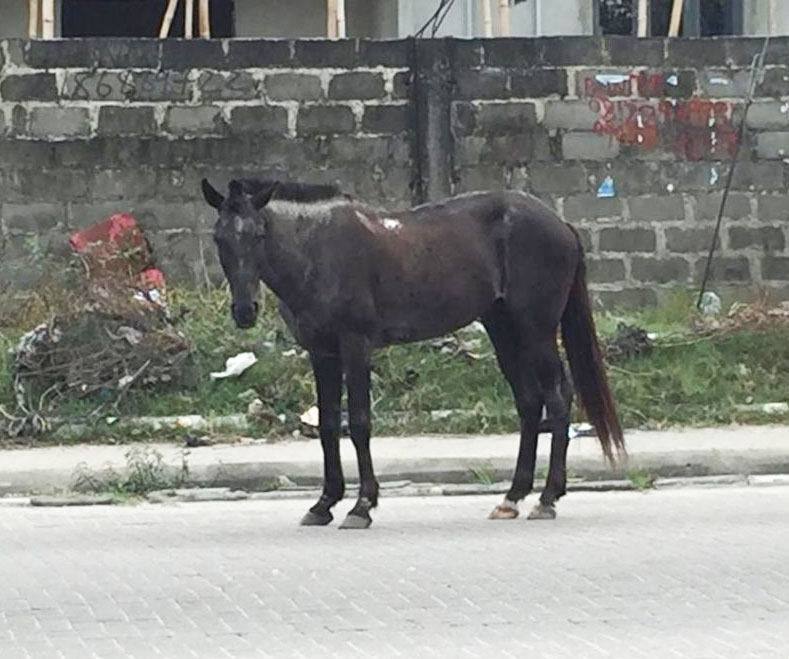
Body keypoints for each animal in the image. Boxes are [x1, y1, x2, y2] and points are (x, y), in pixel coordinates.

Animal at [202, 179, 620, 532]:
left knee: (558, 400)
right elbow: (327, 427)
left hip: (535, 331)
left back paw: (547, 498)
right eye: (219, 238)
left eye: (258, 234)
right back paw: (512, 498)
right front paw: (323, 504)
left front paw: (361, 506)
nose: (245, 310)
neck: (316, 252)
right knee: (531, 403)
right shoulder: (322, 355)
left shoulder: (355, 346)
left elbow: (358, 424)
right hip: (503, 330)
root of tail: (560, 224)